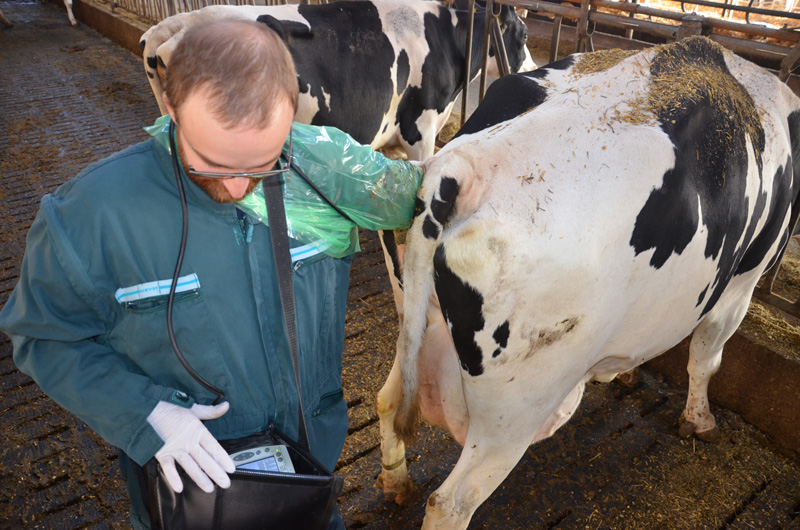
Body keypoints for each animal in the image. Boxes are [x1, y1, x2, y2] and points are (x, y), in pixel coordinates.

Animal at [376, 36, 800, 524]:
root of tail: (462, 168)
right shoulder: (741, 283)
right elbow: (706, 358)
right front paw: (700, 420)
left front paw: (627, 373)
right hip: (517, 408)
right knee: (451, 502)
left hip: (416, 328)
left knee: (387, 402)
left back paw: (396, 483)